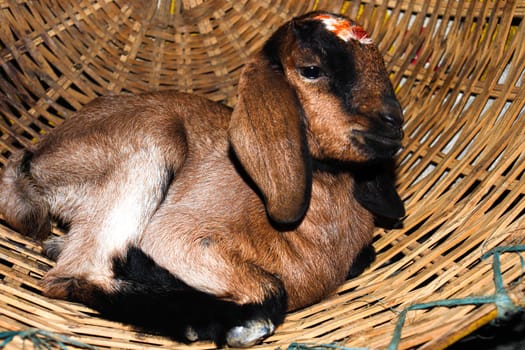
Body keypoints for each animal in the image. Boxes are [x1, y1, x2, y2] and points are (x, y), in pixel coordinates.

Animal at [0, 10, 404, 348]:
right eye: (311, 69)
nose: (394, 123)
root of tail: (33, 158)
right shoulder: (177, 234)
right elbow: (274, 289)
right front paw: (242, 326)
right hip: (152, 143)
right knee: (75, 273)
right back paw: (212, 323)